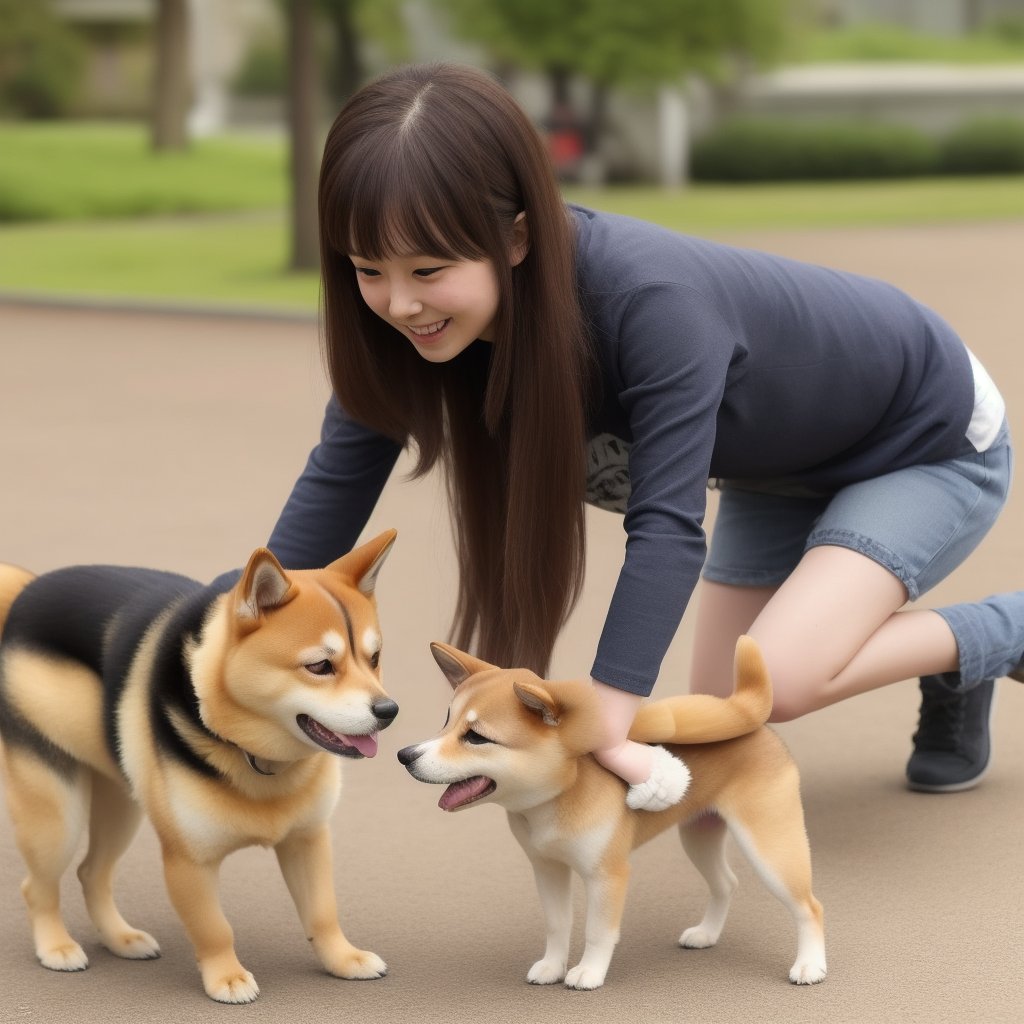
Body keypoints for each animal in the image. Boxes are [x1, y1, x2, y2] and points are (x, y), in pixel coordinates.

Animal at [0, 532, 397, 1003]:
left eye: (374, 658)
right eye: (320, 666)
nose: (389, 711)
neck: (255, 756)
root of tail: (26, 590)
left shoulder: (307, 840)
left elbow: (322, 912)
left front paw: (343, 959)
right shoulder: (189, 861)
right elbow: (213, 928)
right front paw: (226, 977)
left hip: (121, 806)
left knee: (91, 872)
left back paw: (121, 939)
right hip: (58, 817)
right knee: (37, 886)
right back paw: (56, 946)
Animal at [395, 634, 827, 987]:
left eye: (476, 737)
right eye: (446, 722)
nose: (405, 755)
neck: (557, 799)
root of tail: (751, 722)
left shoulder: (607, 875)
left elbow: (599, 931)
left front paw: (588, 972)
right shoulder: (547, 868)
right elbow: (557, 924)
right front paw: (552, 966)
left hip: (770, 847)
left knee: (810, 907)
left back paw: (810, 966)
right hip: (699, 836)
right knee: (726, 883)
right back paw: (706, 934)